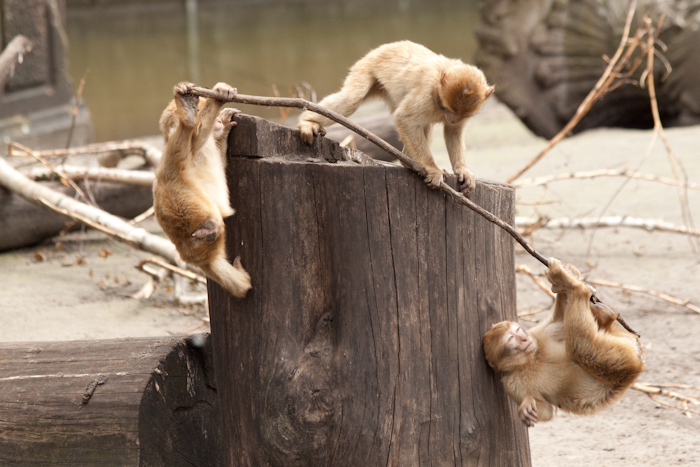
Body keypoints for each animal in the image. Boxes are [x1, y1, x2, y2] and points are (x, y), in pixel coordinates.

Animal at [154, 82, 253, 298]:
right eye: (201, 109)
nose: (217, 120)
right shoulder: (197, 147)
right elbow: (197, 138)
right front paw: (217, 99)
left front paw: (223, 128)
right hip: (187, 220)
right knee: (172, 171)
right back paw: (187, 118)